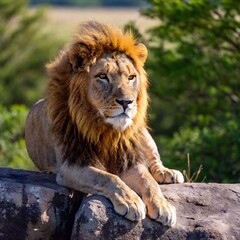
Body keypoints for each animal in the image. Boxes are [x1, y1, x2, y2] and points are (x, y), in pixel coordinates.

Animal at [24, 20, 184, 227]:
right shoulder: (72, 164)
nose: (126, 102)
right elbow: (107, 177)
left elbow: (148, 181)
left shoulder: (127, 160)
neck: (106, 129)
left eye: (131, 77)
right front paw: (131, 201)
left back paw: (167, 173)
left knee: (154, 161)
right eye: (102, 77)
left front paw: (163, 205)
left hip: (141, 133)